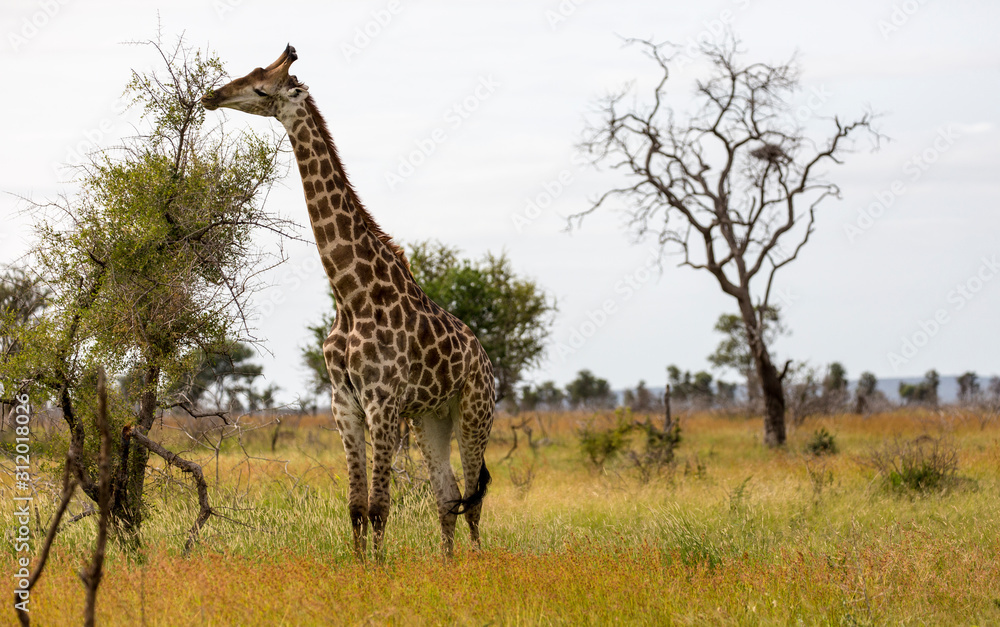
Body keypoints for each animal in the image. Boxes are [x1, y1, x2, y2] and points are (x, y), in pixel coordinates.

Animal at [202, 45, 495, 558]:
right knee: (449, 495)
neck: (350, 293)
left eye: (261, 86)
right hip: (432, 417)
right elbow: (357, 506)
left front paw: (379, 568)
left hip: (474, 412)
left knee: (474, 498)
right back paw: (448, 564)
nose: (211, 96)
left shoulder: (382, 401)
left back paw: (477, 564)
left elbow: (379, 507)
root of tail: (486, 360)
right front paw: (360, 566)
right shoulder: (345, 403)